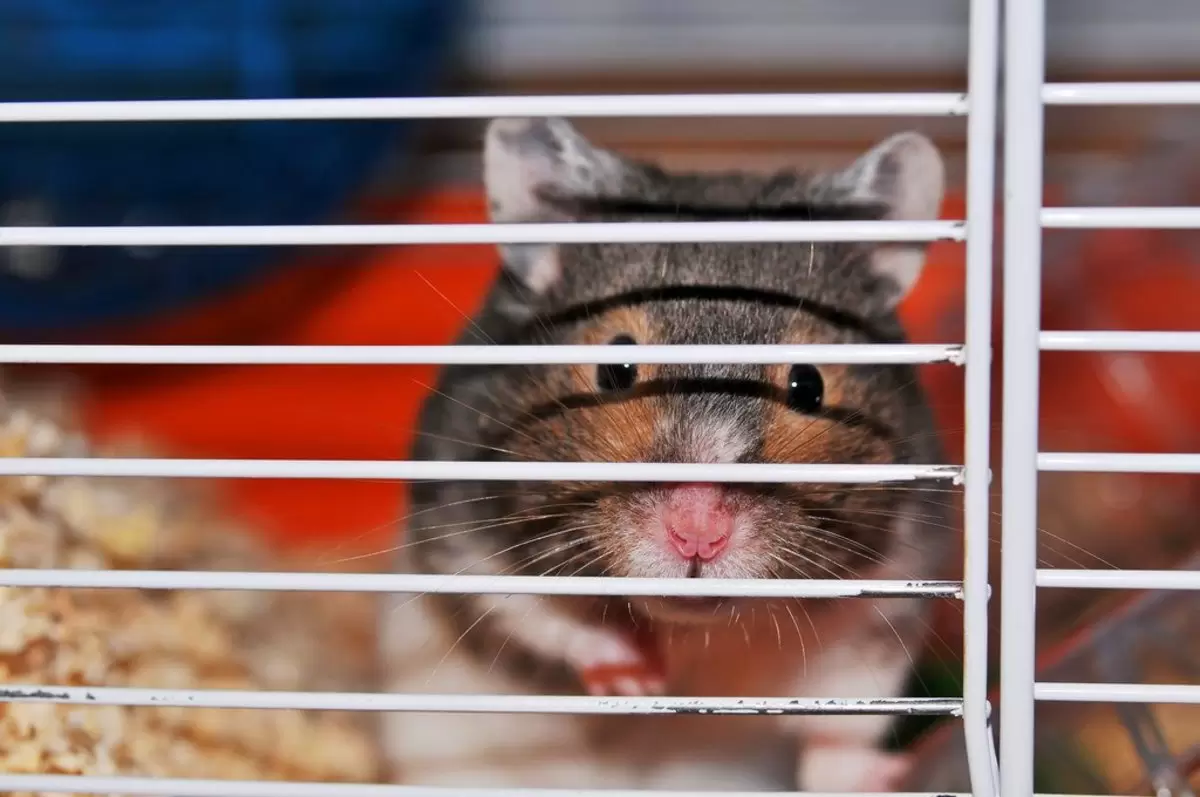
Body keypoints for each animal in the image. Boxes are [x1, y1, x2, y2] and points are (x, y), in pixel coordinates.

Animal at [379, 117, 952, 792]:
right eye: (616, 368)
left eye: (807, 386)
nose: (697, 533)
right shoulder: (458, 535)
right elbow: (540, 616)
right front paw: (639, 678)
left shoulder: (891, 598)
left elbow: (842, 725)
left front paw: (886, 775)